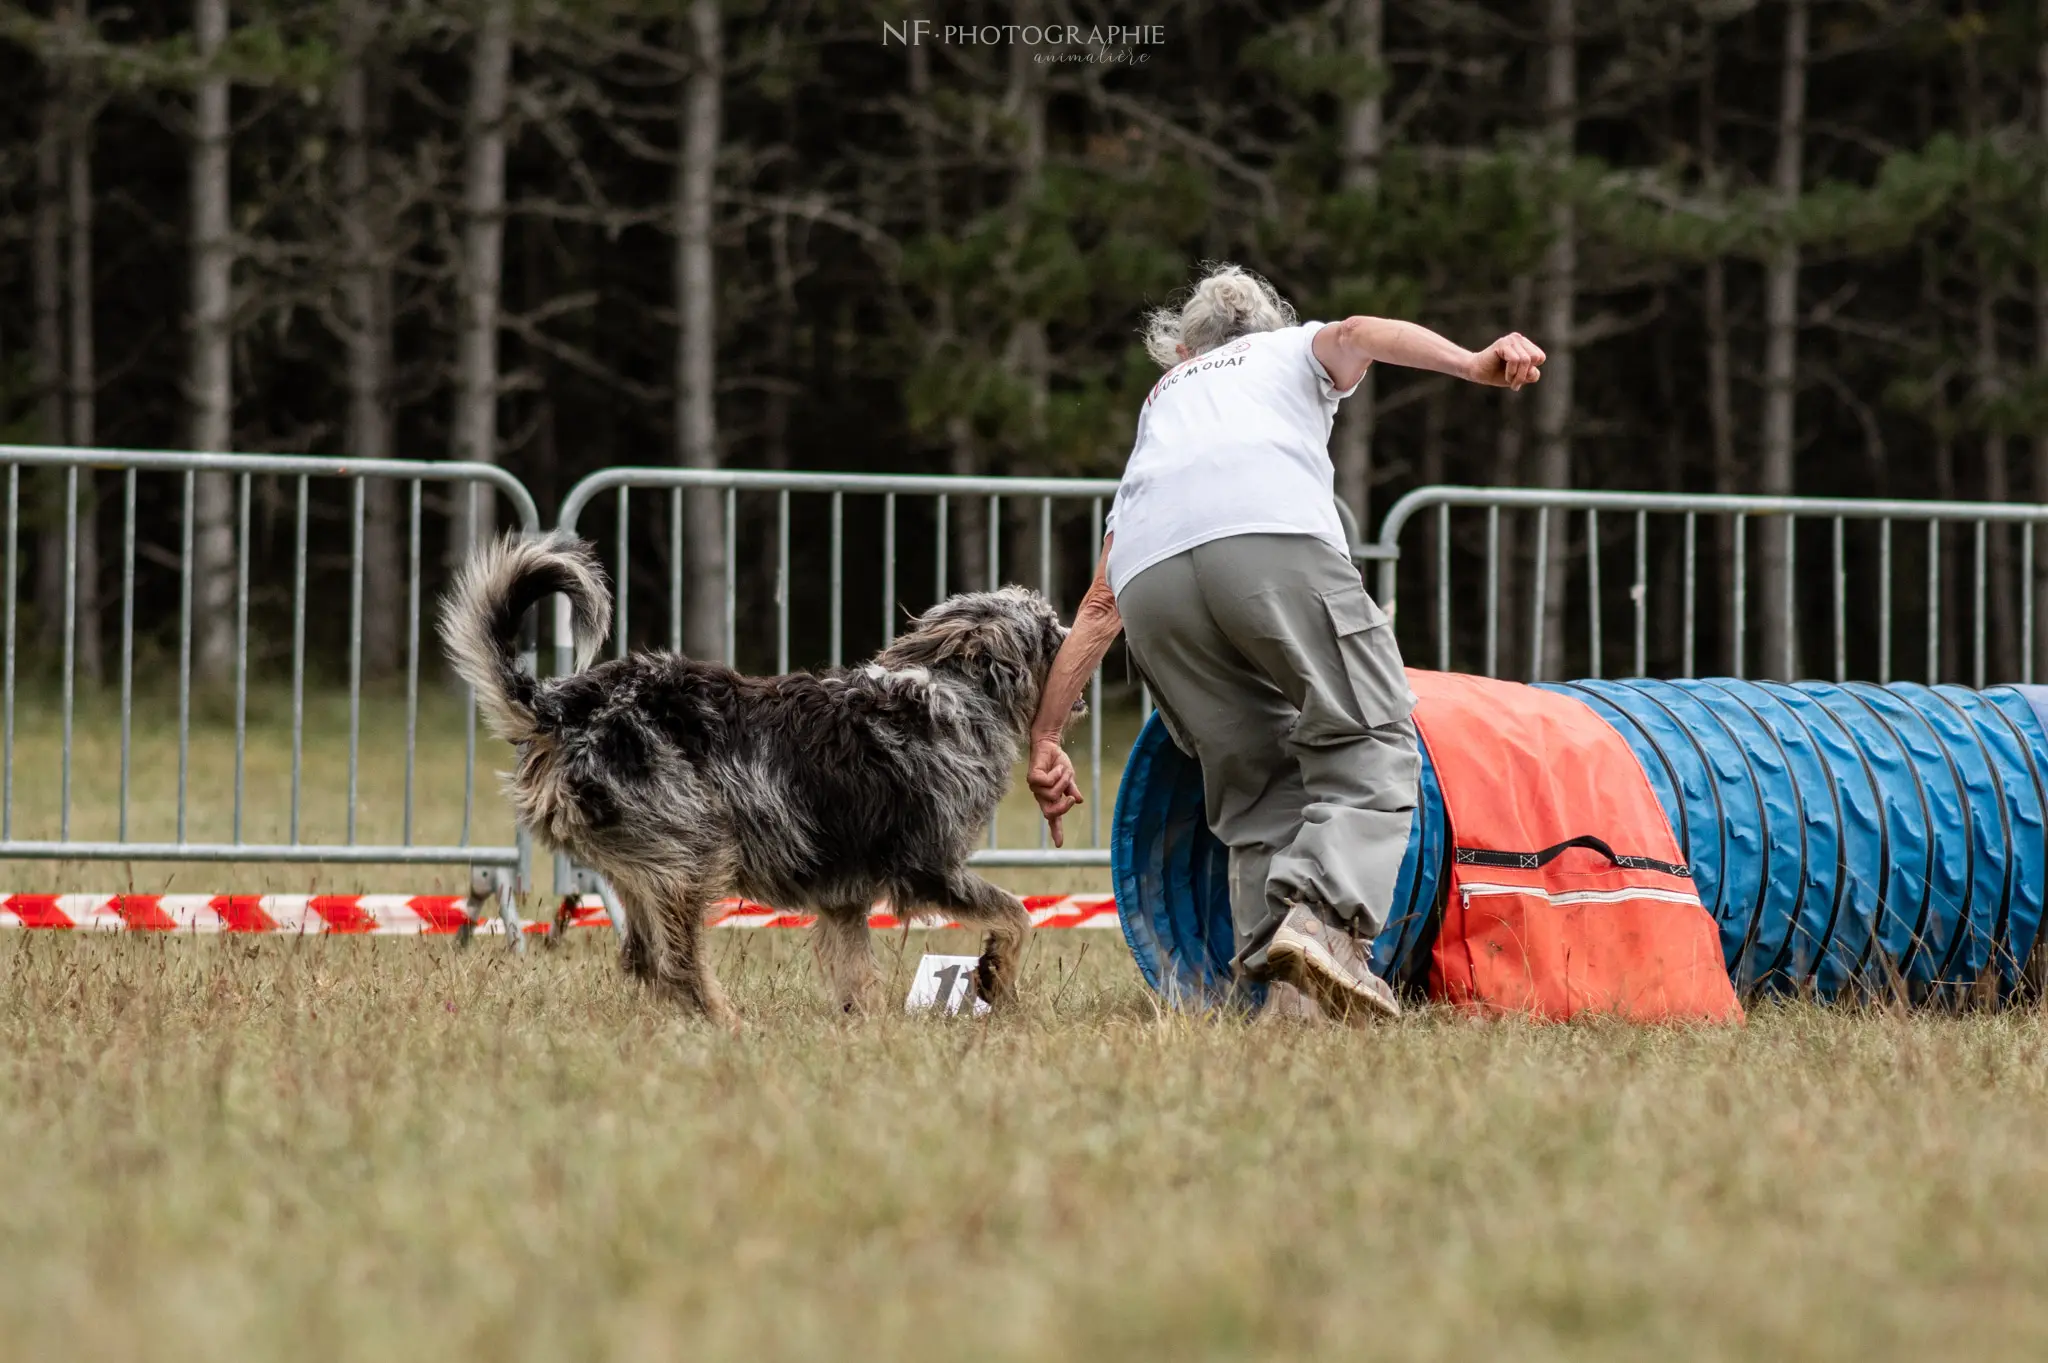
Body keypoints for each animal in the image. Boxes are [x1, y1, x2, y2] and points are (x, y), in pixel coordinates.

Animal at [436, 523, 1073, 1023]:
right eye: (1047, 628)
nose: (1077, 636)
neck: (954, 694)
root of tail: (564, 704)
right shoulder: (928, 869)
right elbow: (1015, 914)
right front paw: (995, 975)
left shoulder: (844, 899)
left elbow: (859, 980)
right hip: (693, 855)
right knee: (677, 964)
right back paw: (728, 1023)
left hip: (643, 866)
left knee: (644, 960)